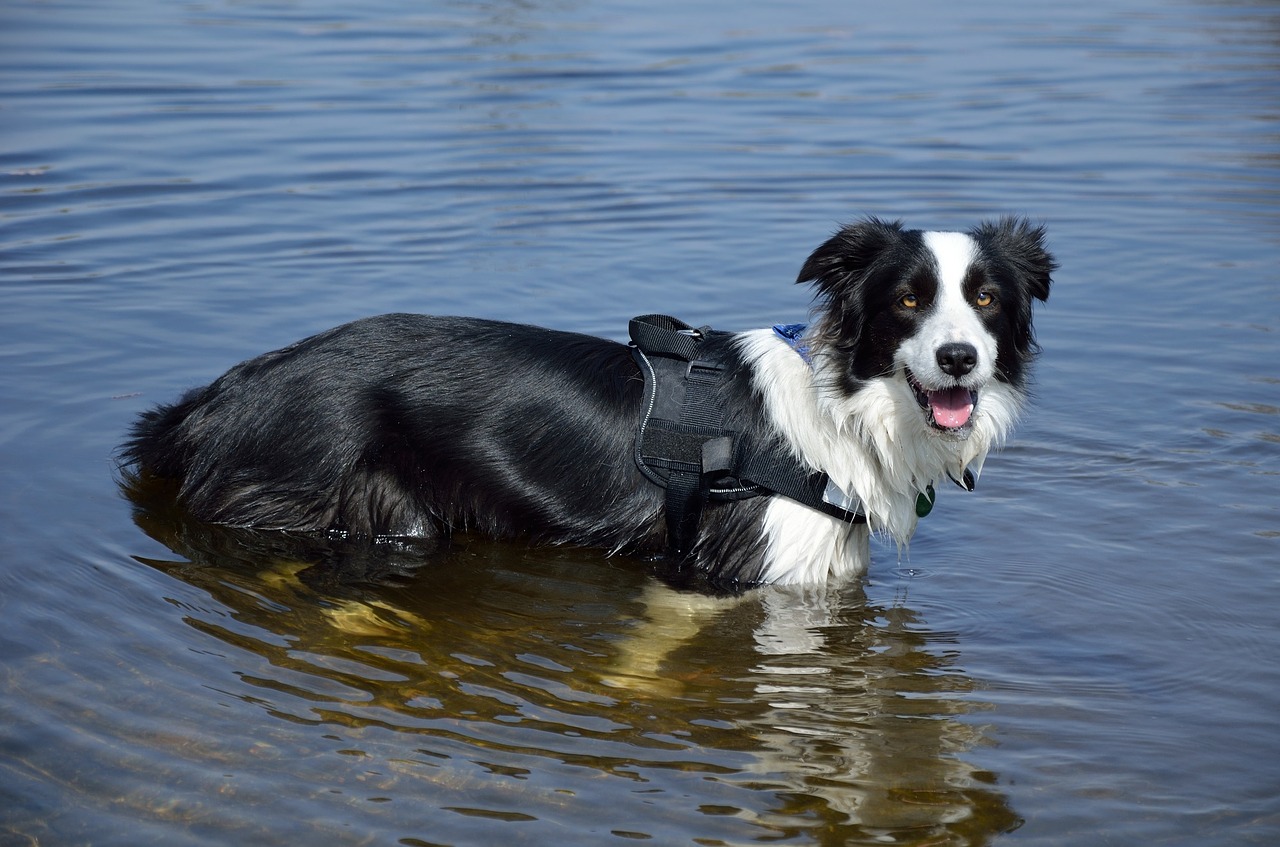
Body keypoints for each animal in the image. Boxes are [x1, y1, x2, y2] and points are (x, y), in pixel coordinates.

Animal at [124, 217, 1054, 591]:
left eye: (985, 299)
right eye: (907, 300)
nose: (960, 359)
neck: (848, 408)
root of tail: (211, 398)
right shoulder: (750, 569)